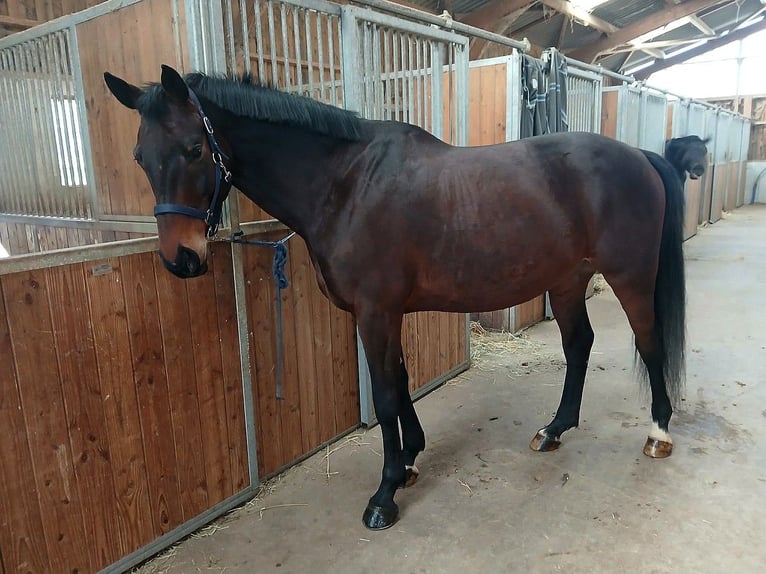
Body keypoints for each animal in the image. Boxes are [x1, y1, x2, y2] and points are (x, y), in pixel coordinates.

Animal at [104, 65, 686, 531]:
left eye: (194, 149)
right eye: (139, 156)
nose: (182, 259)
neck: (345, 183)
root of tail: (639, 156)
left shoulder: (375, 312)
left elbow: (384, 395)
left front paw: (384, 495)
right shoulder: (386, 313)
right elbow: (402, 381)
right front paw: (408, 461)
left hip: (631, 277)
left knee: (649, 342)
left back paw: (658, 432)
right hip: (566, 282)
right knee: (579, 345)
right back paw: (554, 429)